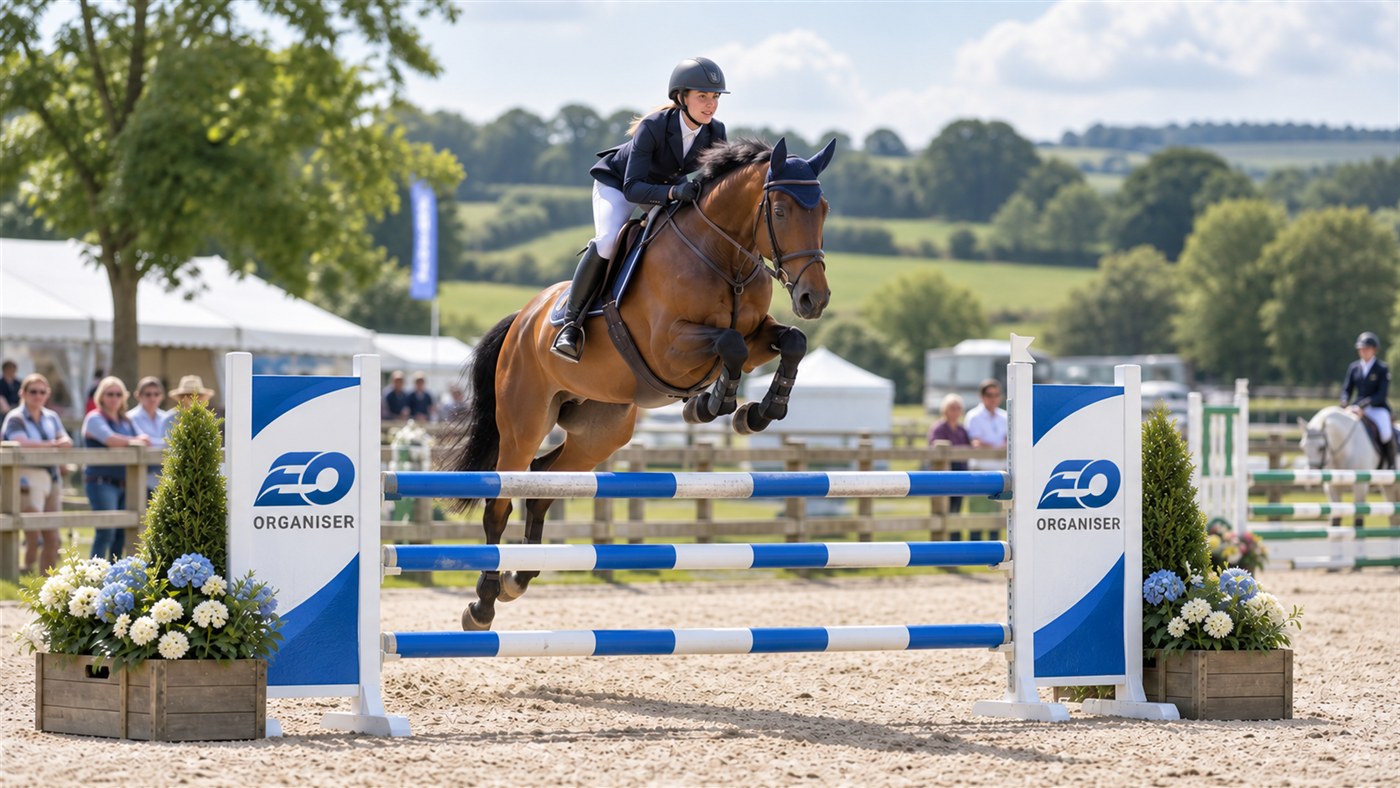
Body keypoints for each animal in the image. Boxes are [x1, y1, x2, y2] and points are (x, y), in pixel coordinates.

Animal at [442, 137, 837, 630]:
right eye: (780, 211)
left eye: (823, 209)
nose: (813, 298)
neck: (724, 257)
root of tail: (523, 319)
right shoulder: (669, 346)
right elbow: (728, 344)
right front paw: (712, 404)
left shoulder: (756, 335)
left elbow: (792, 341)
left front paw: (759, 413)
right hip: (524, 420)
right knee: (501, 501)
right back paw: (483, 603)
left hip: (601, 430)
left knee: (543, 483)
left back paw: (519, 579)